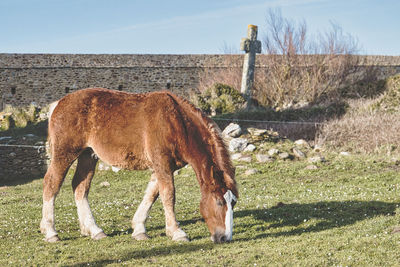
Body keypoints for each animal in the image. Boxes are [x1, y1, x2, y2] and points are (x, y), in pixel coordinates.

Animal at [40, 88, 238, 245]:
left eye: (233, 202)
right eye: (219, 202)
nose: (225, 237)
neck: (177, 122)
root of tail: (58, 104)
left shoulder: (164, 167)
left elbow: (152, 194)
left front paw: (139, 229)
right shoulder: (162, 165)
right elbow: (168, 195)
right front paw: (177, 232)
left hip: (88, 155)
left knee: (80, 187)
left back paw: (93, 230)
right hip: (64, 154)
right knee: (51, 184)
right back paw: (51, 232)